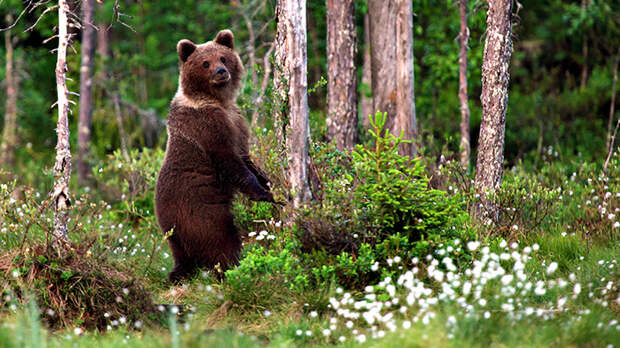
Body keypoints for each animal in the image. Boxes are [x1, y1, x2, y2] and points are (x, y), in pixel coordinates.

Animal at [155, 30, 274, 282]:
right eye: (205, 63)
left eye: (223, 57)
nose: (221, 72)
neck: (217, 100)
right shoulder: (207, 127)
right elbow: (230, 162)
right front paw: (263, 193)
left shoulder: (236, 121)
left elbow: (245, 157)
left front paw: (269, 182)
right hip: (201, 214)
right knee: (222, 242)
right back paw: (232, 269)